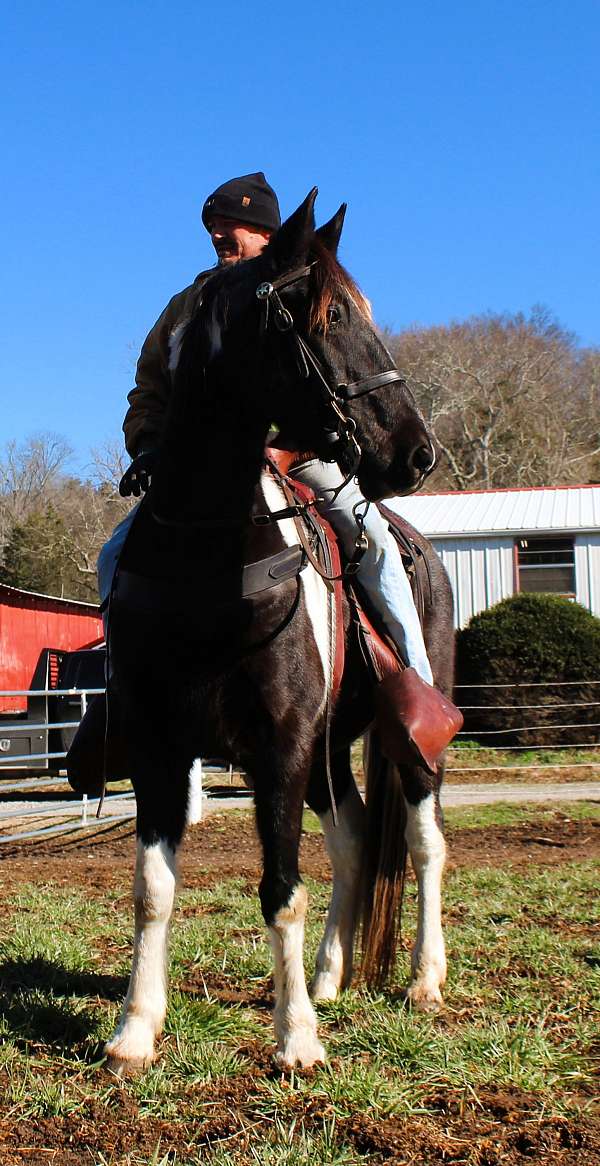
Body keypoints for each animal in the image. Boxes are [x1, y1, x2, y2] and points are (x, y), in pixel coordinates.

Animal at [105, 193, 456, 1072]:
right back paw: (332, 976)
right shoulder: (160, 743)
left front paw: (295, 1039)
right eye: (324, 314)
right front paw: (135, 1028)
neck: (209, 561)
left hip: (406, 742)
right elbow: (153, 888)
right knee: (357, 842)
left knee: (424, 844)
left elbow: (281, 890)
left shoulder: (282, 745)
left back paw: (423, 981)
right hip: (330, 755)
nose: (418, 453)